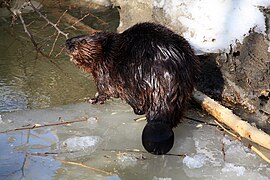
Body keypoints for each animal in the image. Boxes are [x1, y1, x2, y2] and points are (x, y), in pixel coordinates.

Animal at [66, 22, 198, 155]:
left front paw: (93, 99)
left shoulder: (104, 71)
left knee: (138, 105)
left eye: (83, 40)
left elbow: (104, 90)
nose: (67, 42)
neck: (109, 52)